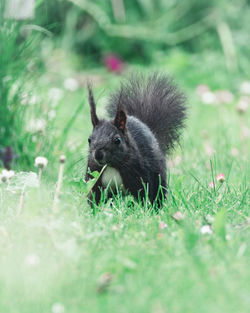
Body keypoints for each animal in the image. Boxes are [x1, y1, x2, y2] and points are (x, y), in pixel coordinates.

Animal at [85, 73, 186, 207]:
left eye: (117, 140)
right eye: (89, 139)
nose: (98, 155)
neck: (111, 165)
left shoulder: (139, 175)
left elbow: (144, 195)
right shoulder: (94, 177)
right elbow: (94, 197)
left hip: (159, 177)